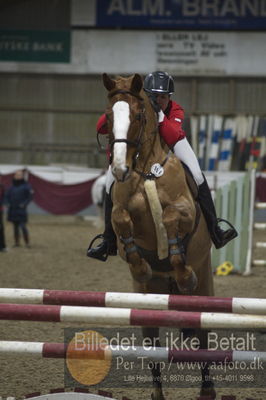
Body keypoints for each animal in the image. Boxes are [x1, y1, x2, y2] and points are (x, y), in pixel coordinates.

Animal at [102, 73, 216, 398]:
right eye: (109, 115)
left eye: (139, 115)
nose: (119, 168)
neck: (145, 170)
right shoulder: (122, 217)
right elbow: (120, 220)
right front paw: (141, 265)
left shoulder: (185, 209)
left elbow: (170, 217)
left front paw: (182, 268)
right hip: (147, 304)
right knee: (152, 346)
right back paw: (157, 393)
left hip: (204, 292)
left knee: (203, 338)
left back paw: (207, 390)